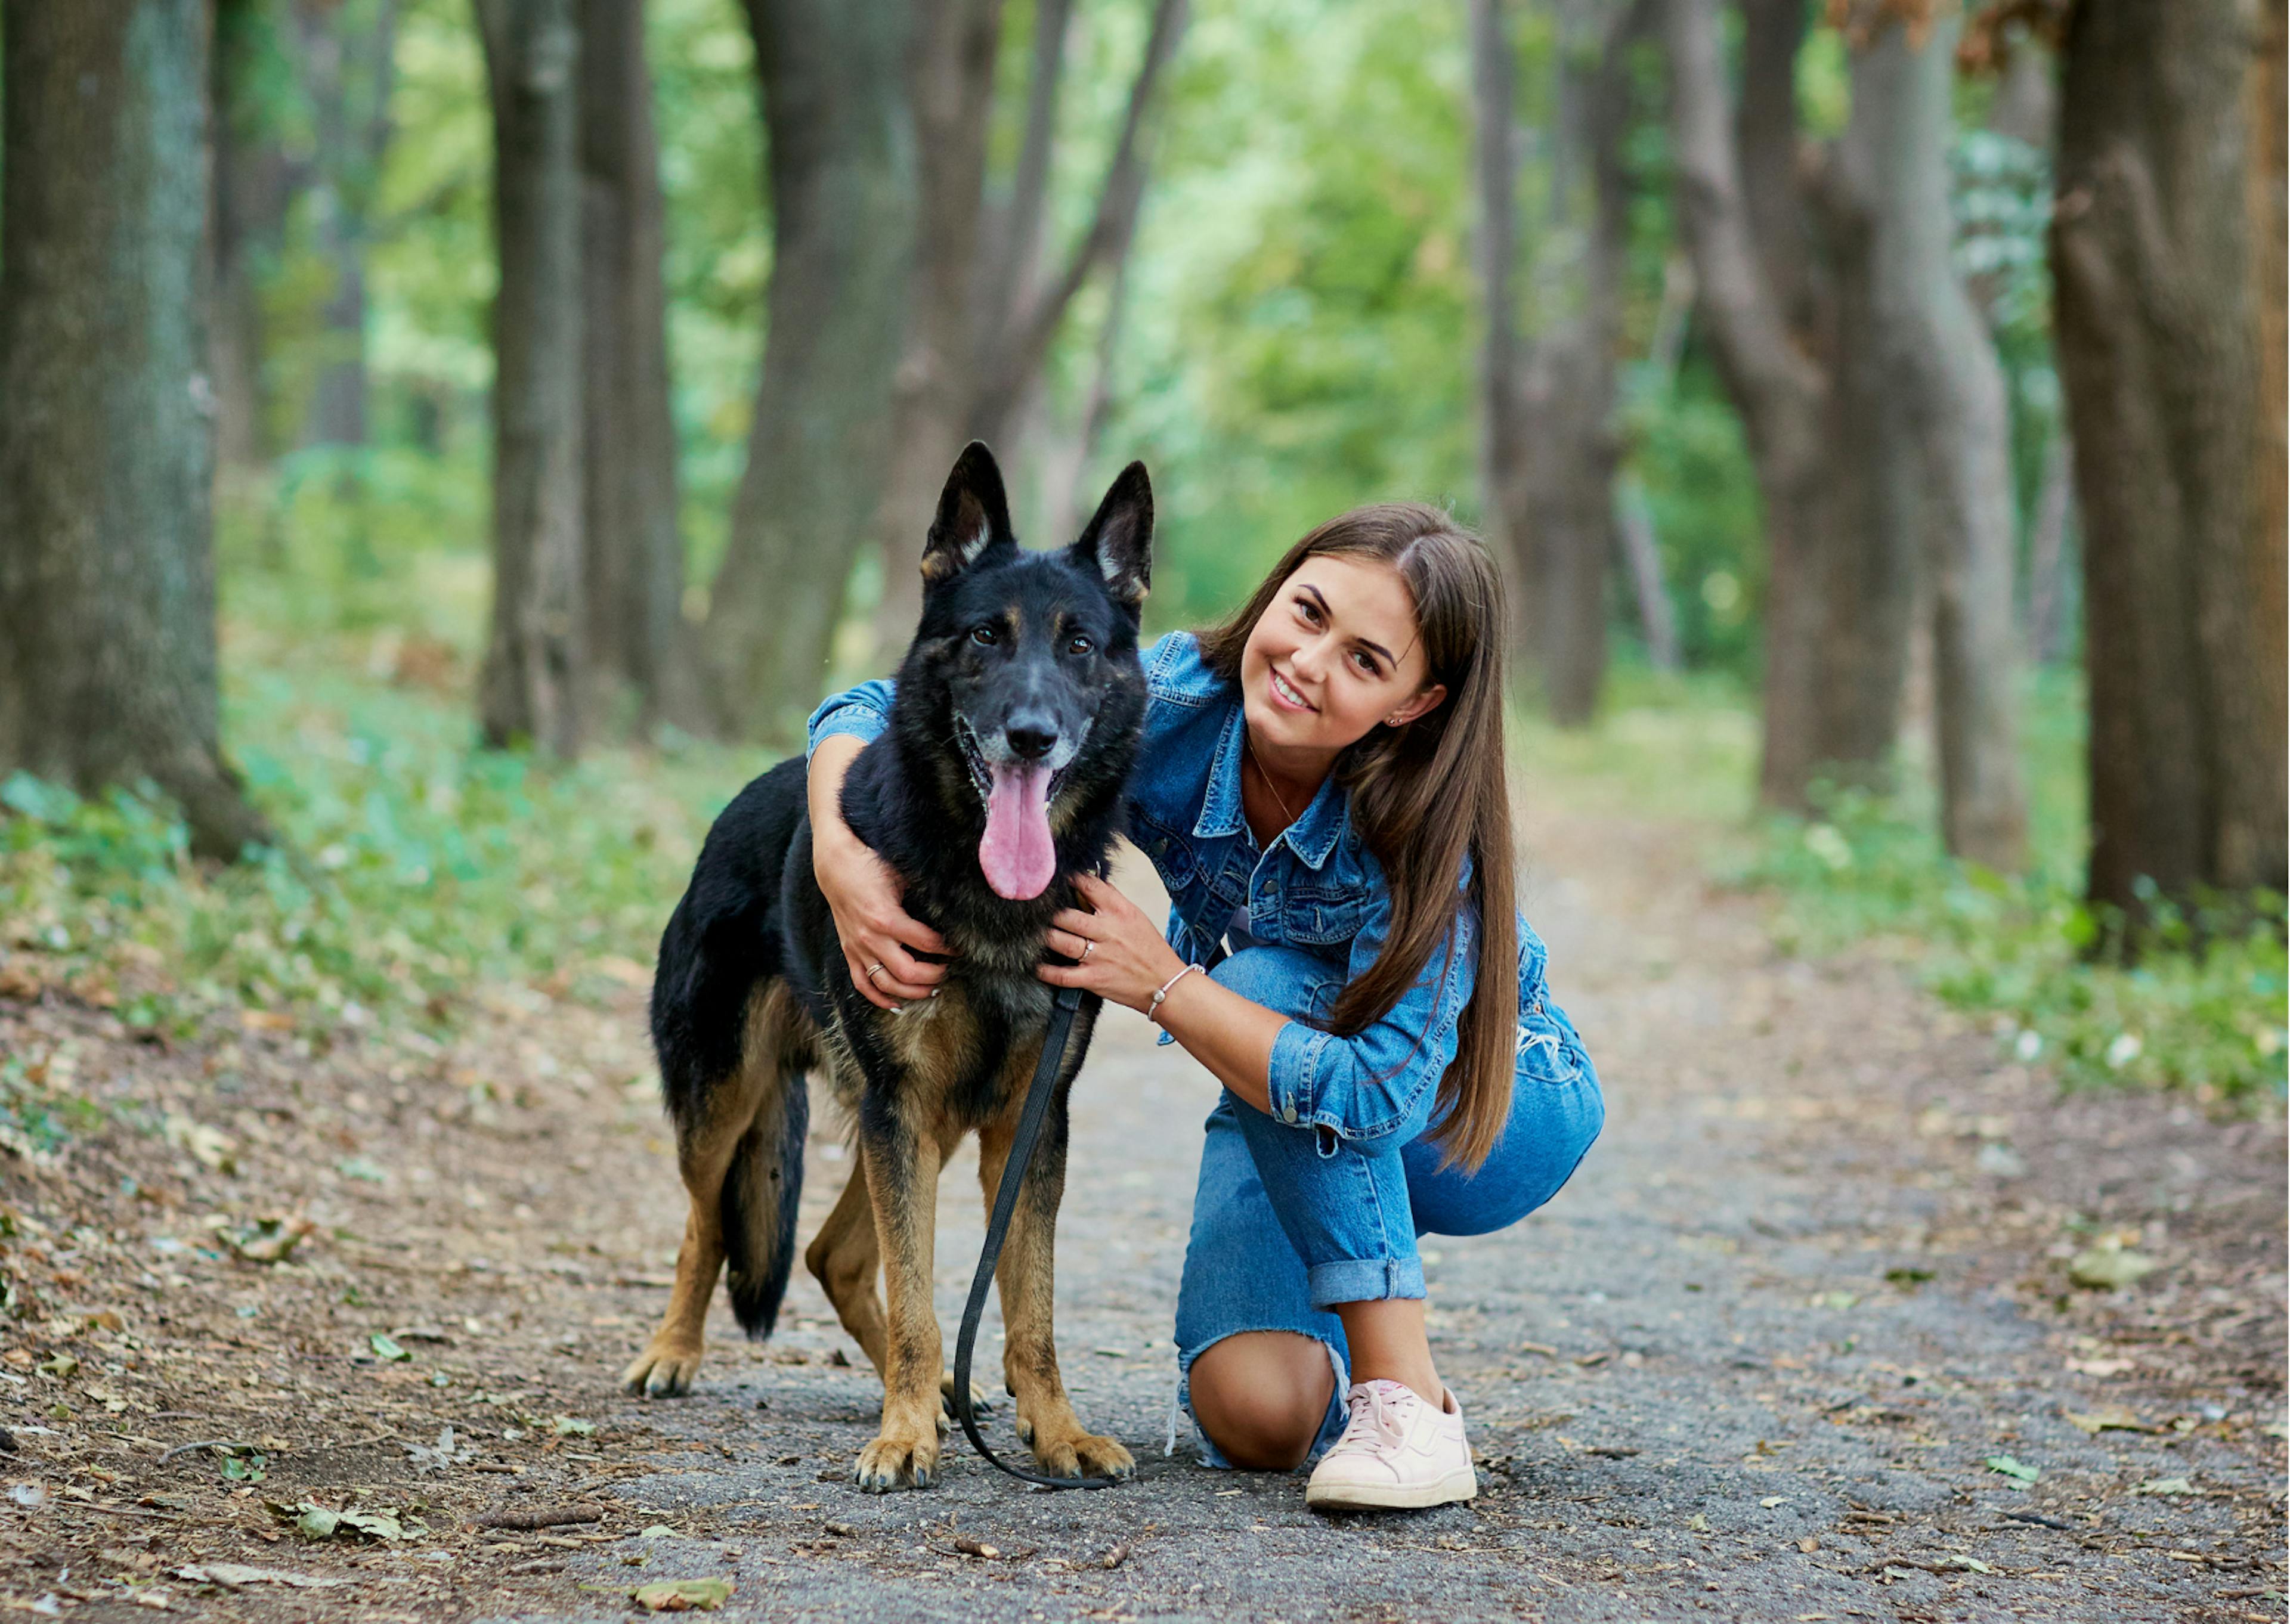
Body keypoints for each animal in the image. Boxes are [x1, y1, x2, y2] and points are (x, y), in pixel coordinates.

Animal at [627, 437, 1154, 1484]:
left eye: (1079, 645)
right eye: (987, 636)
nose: (1031, 735)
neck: (988, 896)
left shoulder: (1024, 1124)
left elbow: (1029, 1310)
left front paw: (1055, 1429)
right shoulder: (901, 1107)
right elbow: (919, 1298)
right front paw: (903, 1434)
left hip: (922, 1124)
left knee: (834, 1256)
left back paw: (950, 1395)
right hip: (738, 1102)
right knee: (708, 1226)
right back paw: (675, 1351)